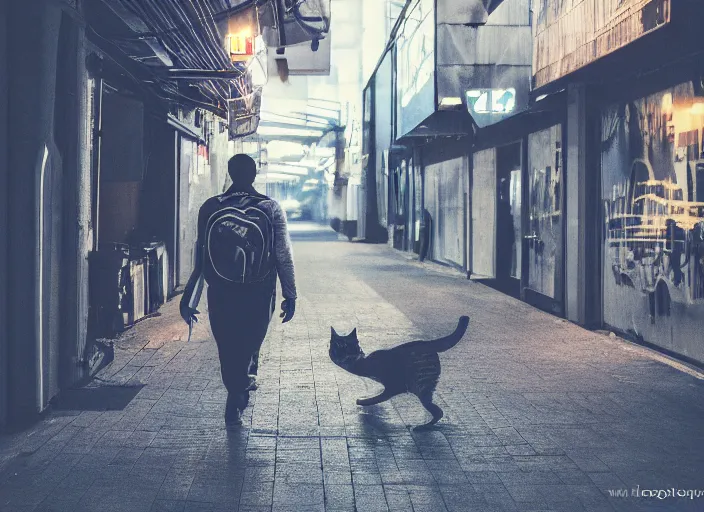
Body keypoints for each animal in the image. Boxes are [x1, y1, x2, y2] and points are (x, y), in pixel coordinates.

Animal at [328, 316, 470, 428]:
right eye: (337, 347)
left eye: (348, 347)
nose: (343, 356)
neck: (361, 363)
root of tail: (429, 343)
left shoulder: (394, 386)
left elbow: (378, 397)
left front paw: (364, 401)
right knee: (437, 410)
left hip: (421, 387)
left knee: (438, 412)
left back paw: (422, 427)